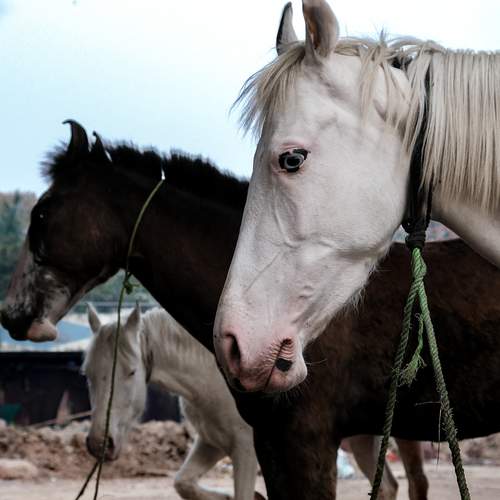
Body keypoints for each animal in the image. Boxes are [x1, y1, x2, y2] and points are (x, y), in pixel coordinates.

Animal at [83, 304, 263, 500]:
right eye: (87, 374)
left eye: (131, 372)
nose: (99, 444)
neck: (215, 377)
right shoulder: (212, 442)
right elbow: (183, 483)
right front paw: (228, 496)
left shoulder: (244, 449)